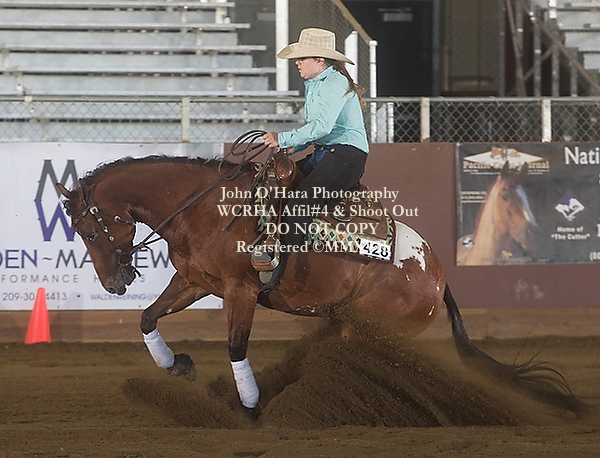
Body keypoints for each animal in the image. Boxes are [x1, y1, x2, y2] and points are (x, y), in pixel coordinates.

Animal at [56, 154, 586, 418]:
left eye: (89, 229)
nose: (114, 281)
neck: (208, 210)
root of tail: (436, 273)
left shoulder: (240, 291)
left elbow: (235, 347)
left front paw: (250, 406)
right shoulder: (194, 281)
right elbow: (148, 318)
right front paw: (178, 365)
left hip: (366, 332)